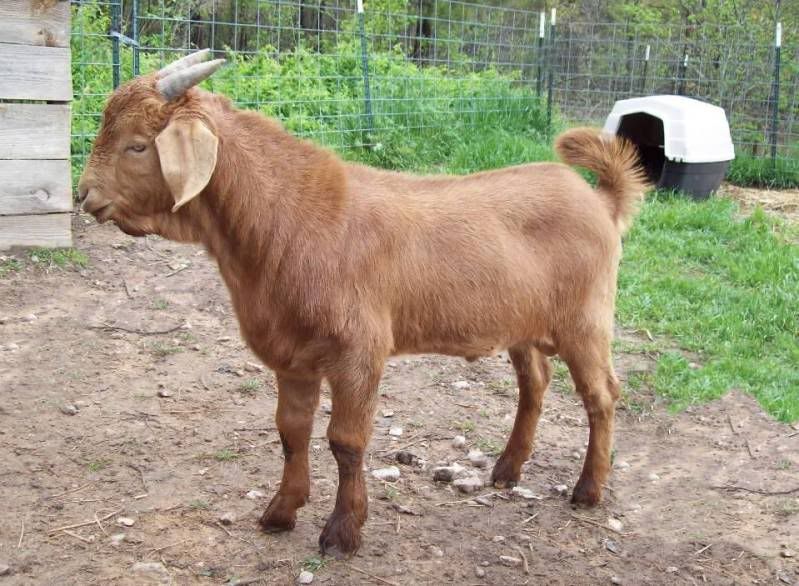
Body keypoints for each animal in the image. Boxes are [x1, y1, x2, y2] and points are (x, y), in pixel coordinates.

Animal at [78, 49, 647, 558]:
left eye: (136, 146)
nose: (84, 195)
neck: (289, 219)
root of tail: (599, 200)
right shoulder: (292, 354)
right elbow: (291, 431)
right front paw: (280, 511)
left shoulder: (358, 352)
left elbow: (346, 441)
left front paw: (343, 532)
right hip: (522, 322)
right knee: (535, 383)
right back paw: (507, 470)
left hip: (586, 321)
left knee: (602, 395)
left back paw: (588, 490)